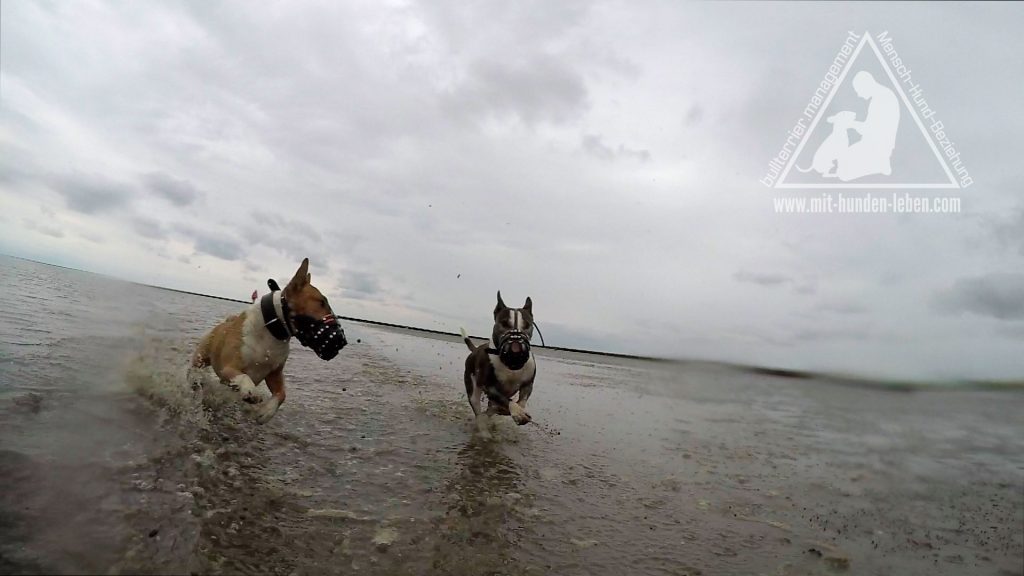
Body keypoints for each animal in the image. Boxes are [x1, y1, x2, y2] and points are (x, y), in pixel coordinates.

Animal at [192, 258, 348, 424]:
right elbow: (244, 377)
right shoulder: (227, 368)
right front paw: (250, 392)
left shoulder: (274, 373)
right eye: (321, 302)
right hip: (202, 357)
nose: (342, 341)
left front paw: (265, 412)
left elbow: (282, 394)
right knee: (196, 369)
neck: (270, 333)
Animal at [458, 291, 536, 422]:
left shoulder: (528, 383)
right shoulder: (489, 386)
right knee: (478, 408)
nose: (516, 341)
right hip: (472, 386)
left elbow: (522, 399)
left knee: (492, 408)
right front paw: (517, 412)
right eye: (504, 323)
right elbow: (505, 400)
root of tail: (475, 349)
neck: (511, 362)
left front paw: (519, 411)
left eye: (527, 325)